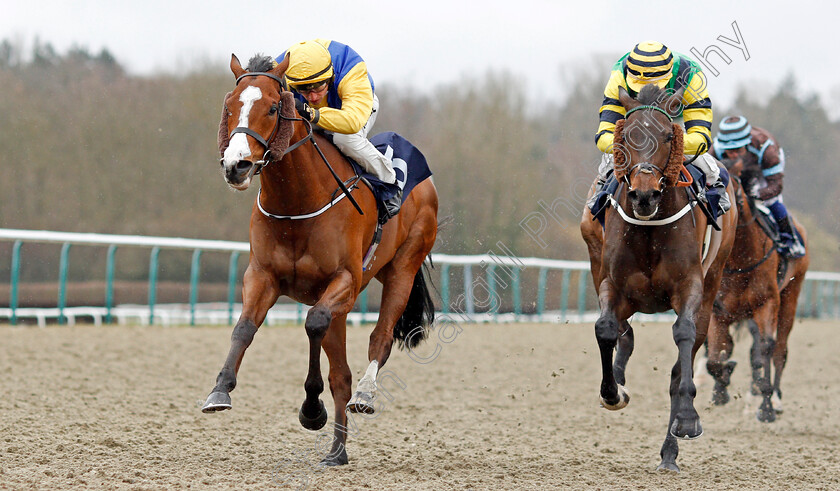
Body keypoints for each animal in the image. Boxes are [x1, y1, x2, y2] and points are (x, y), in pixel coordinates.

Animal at [203, 53, 440, 466]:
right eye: (229, 107)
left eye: (273, 107)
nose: (236, 165)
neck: (297, 202)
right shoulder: (262, 276)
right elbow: (244, 328)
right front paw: (220, 390)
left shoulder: (344, 280)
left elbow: (313, 324)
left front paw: (312, 409)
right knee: (341, 374)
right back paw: (337, 452)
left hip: (403, 267)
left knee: (378, 340)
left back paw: (364, 395)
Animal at [580, 84, 740, 472]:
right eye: (626, 136)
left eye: (669, 135)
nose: (644, 194)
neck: (649, 228)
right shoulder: (613, 283)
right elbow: (605, 328)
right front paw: (613, 392)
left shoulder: (690, 287)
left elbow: (682, 338)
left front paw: (687, 419)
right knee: (623, 331)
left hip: (713, 281)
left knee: (680, 363)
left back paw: (671, 449)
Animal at [704, 162, 812, 422]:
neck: (739, 259)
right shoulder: (718, 310)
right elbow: (715, 355)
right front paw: (721, 389)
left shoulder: (767, 303)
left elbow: (765, 348)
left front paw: (766, 407)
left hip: (791, 295)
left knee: (779, 350)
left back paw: (775, 399)